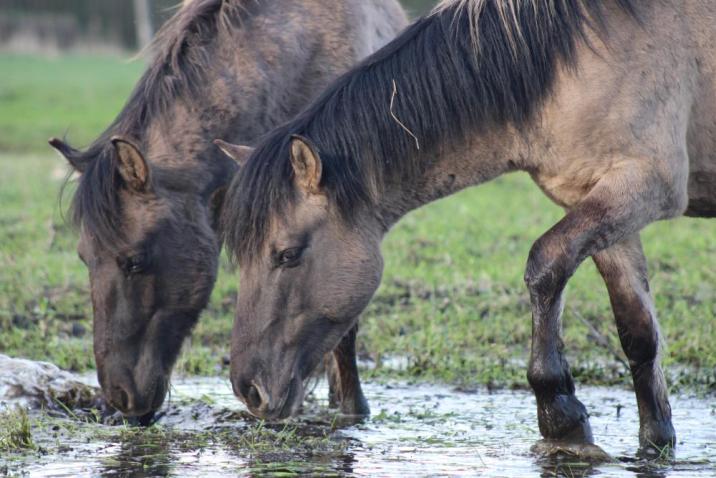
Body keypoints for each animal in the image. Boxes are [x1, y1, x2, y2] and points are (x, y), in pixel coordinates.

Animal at [220, 0, 716, 452]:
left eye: (288, 254)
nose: (248, 388)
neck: (572, 53)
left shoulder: (645, 187)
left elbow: (545, 262)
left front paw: (561, 415)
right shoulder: (604, 204)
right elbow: (638, 332)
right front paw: (656, 443)